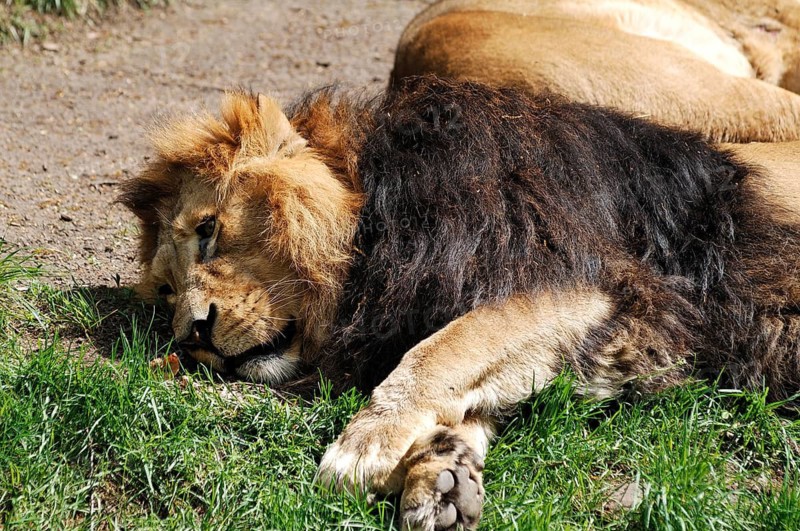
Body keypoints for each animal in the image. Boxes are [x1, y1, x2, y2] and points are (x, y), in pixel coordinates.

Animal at [120, 76, 800, 530]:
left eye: (208, 230)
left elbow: (443, 349)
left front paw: (363, 447)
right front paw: (442, 475)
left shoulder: (583, 277)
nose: (193, 335)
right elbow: (473, 382)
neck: (377, 217)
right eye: (166, 294)